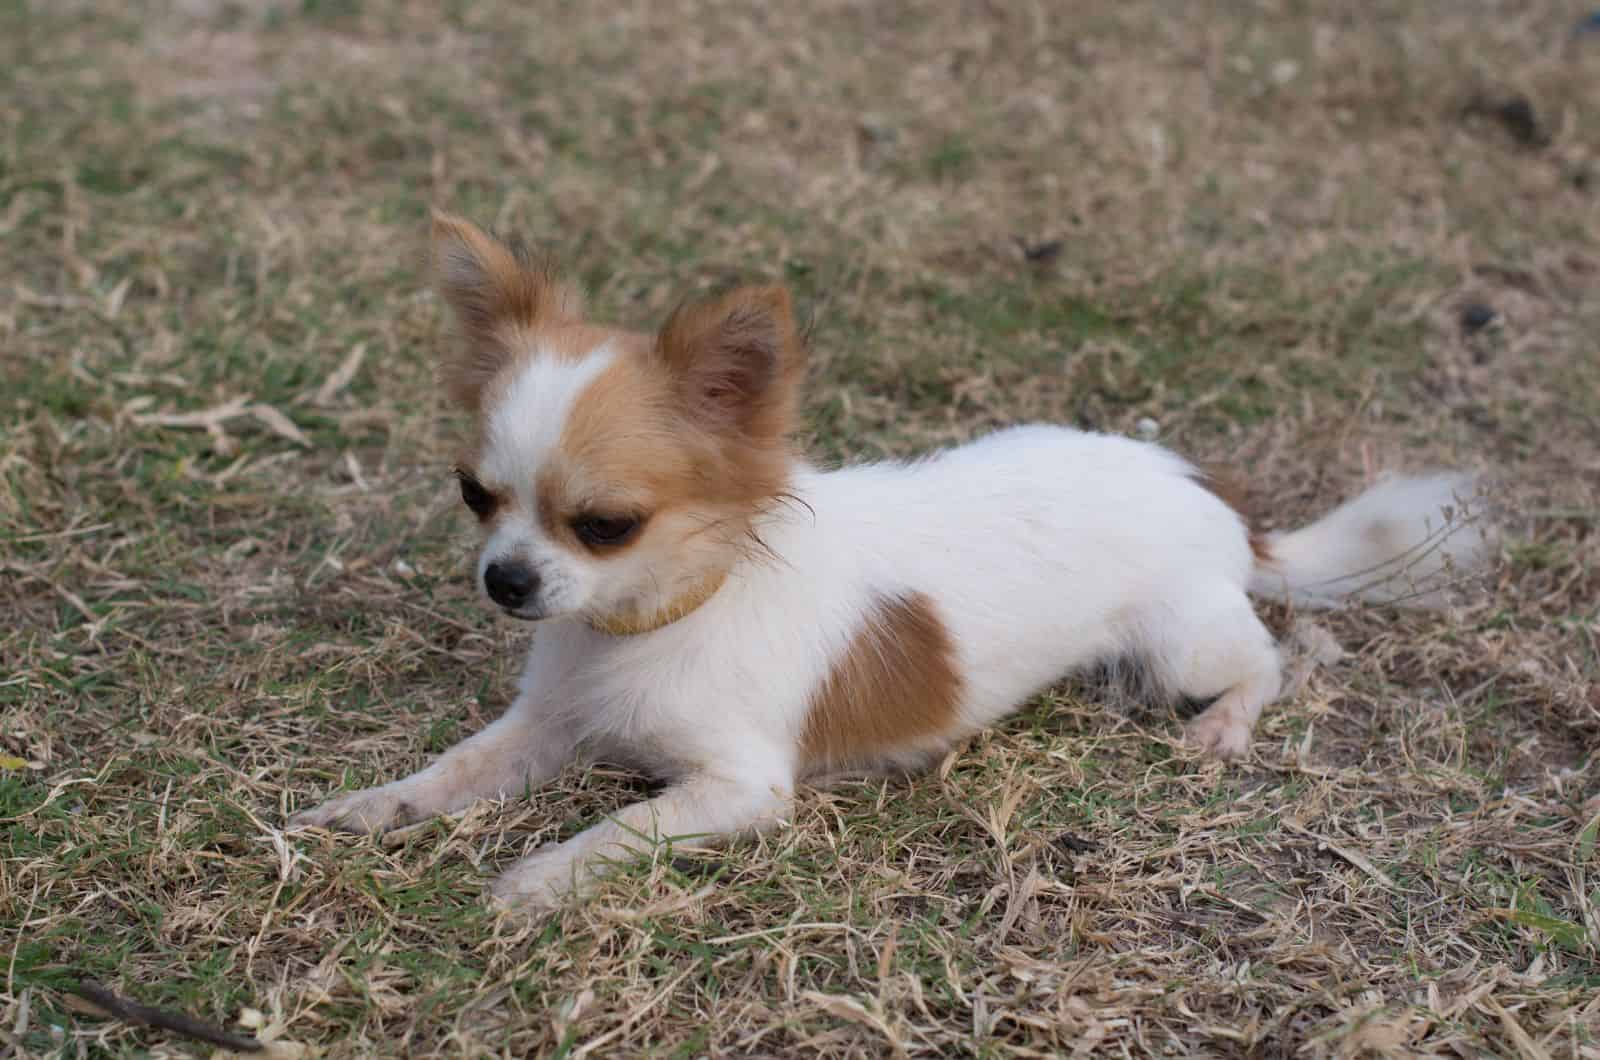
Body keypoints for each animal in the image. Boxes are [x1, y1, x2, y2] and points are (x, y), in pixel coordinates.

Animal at [291, 216, 1497, 915]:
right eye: (475, 494)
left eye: (605, 525)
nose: (504, 580)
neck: (648, 622)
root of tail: (1209, 496)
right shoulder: (545, 727)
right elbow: (453, 770)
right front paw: (375, 807)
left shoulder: (738, 786)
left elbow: (619, 826)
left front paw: (539, 877)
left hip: (1180, 645)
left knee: (1265, 661)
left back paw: (1227, 725)